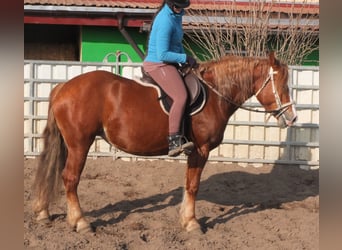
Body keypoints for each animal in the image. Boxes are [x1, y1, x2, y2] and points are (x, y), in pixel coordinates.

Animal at [33, 53, 298, 234]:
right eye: (281, 84)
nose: (292, 117)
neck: (215, 94)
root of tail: (63, 87)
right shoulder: (200, 150)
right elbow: (193, 186)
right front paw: (192, 223)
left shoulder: (195, 153)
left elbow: (188, 184)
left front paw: (185, 219)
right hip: (80, 144)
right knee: (70, 178)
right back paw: (80, 222)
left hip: (69, 144)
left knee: (54, 171)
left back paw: (44, 212)